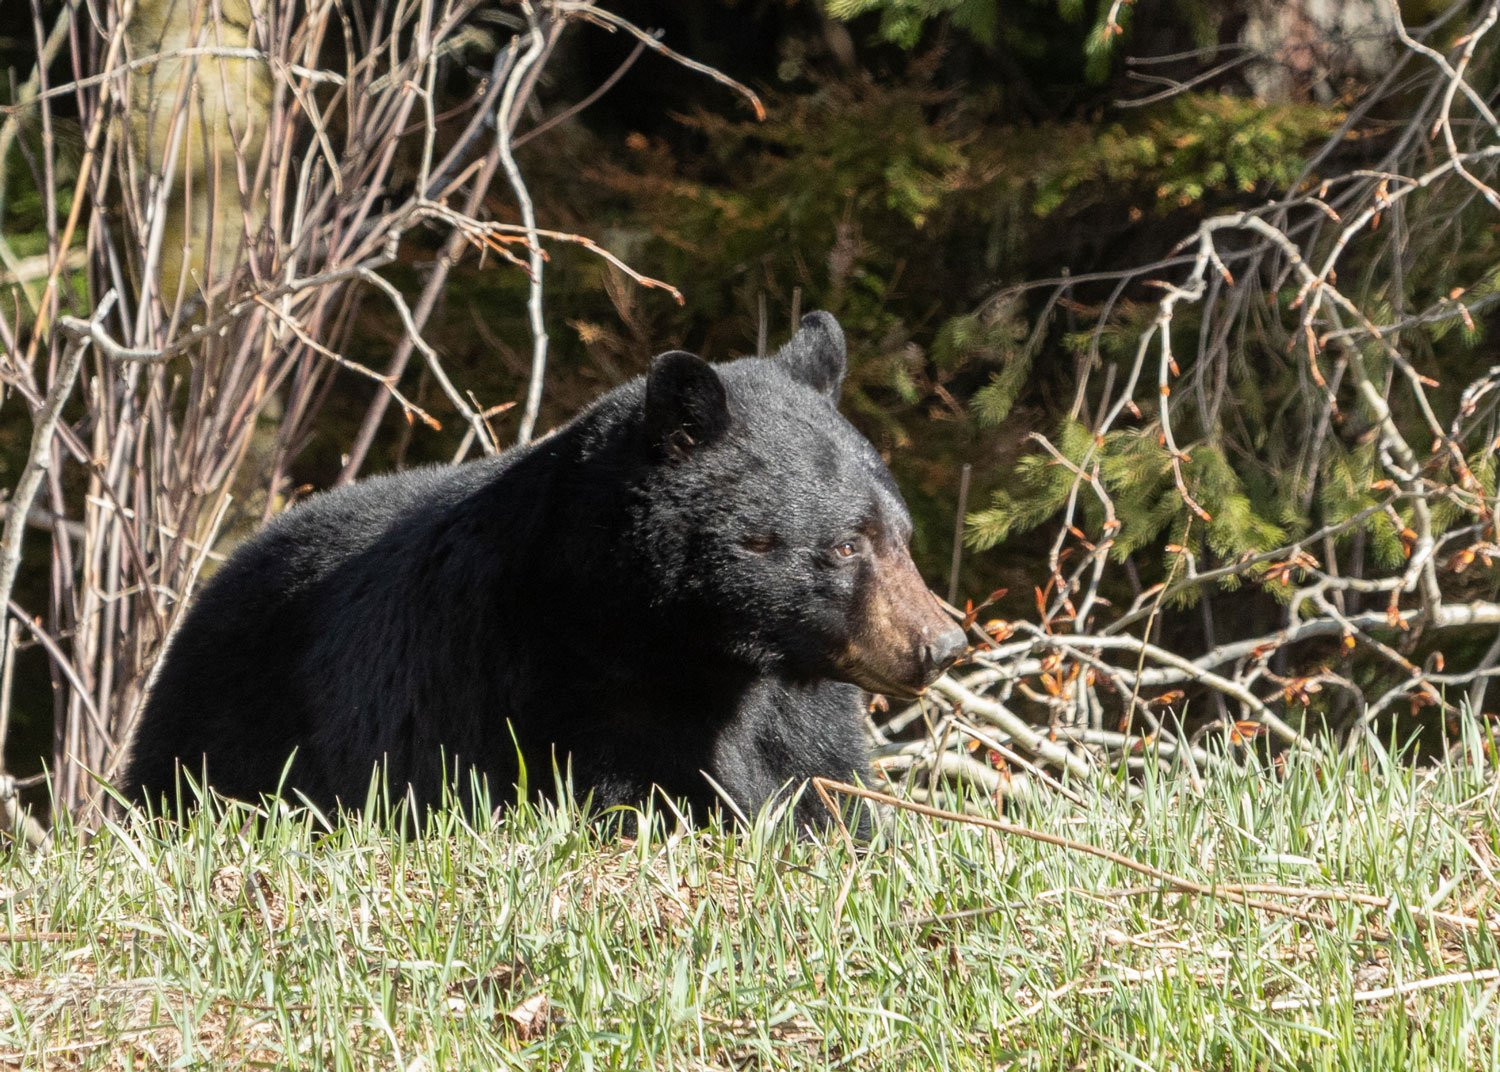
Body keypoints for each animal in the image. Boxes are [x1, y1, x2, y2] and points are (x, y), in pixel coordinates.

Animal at [123, 311, 966, 827]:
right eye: (847, 544)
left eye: (900, 533)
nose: (941, 644)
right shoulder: (544, 680)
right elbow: (623, 790)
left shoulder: (795, 711)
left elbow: (821, 783)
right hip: (233, 728)